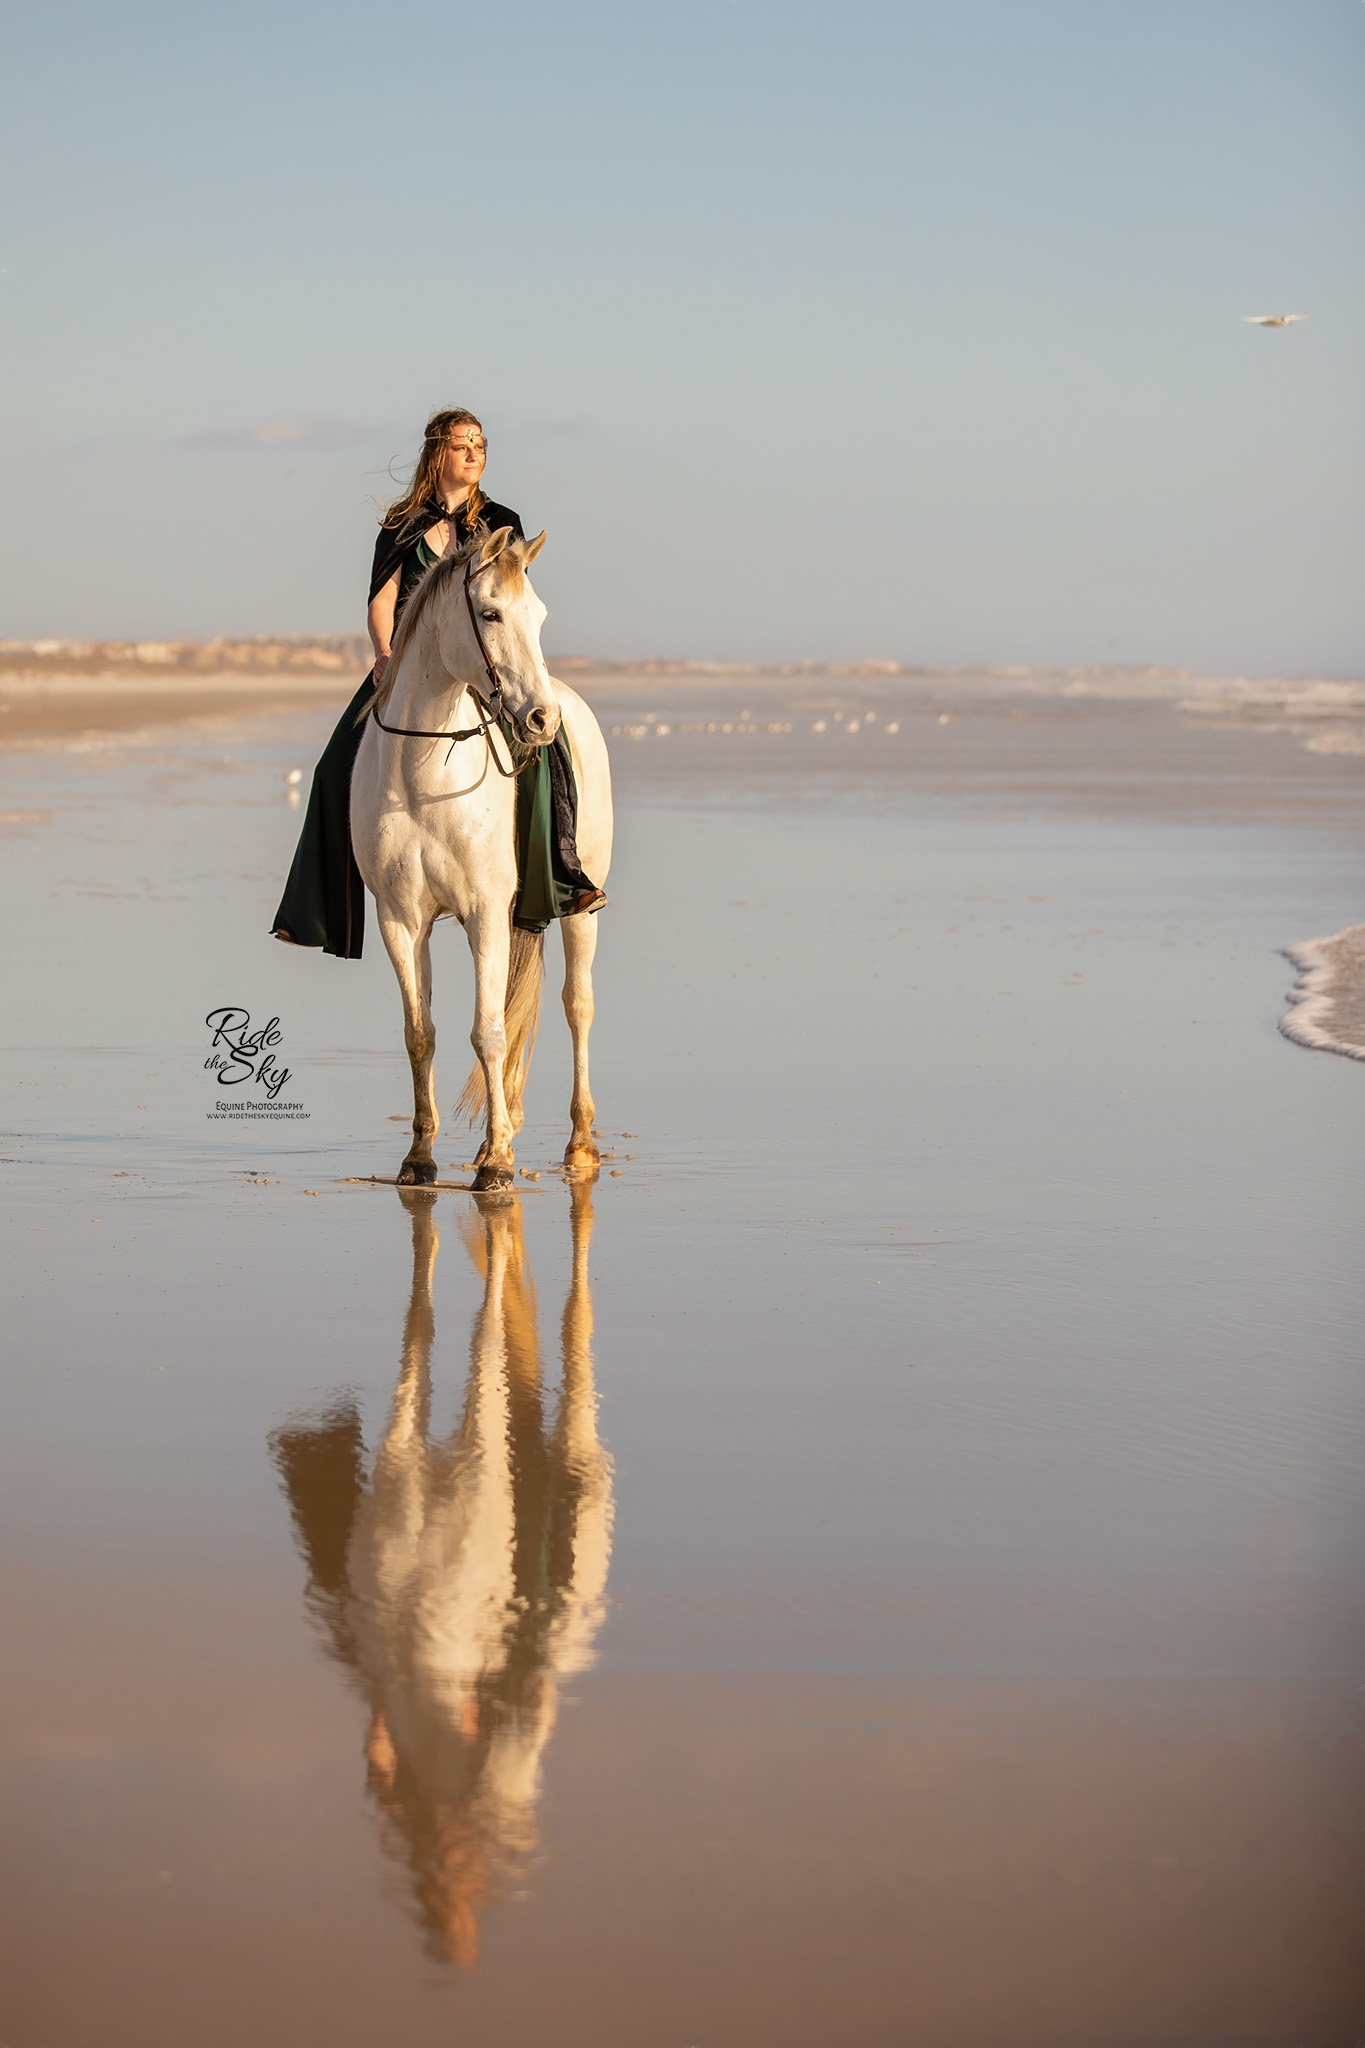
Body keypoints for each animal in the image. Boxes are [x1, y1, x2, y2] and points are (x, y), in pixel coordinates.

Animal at [351, 528, 613, 1196]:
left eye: (539, 616)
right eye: (490, 613)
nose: (542, 720)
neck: (423, 775)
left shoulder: (486, 912)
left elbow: (489, 1032)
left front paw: (497, 1162)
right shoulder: (400, 919)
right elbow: (421, 1034)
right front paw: (420, 1156)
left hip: (580, 913)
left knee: (578, 1005)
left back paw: (579, 1143)